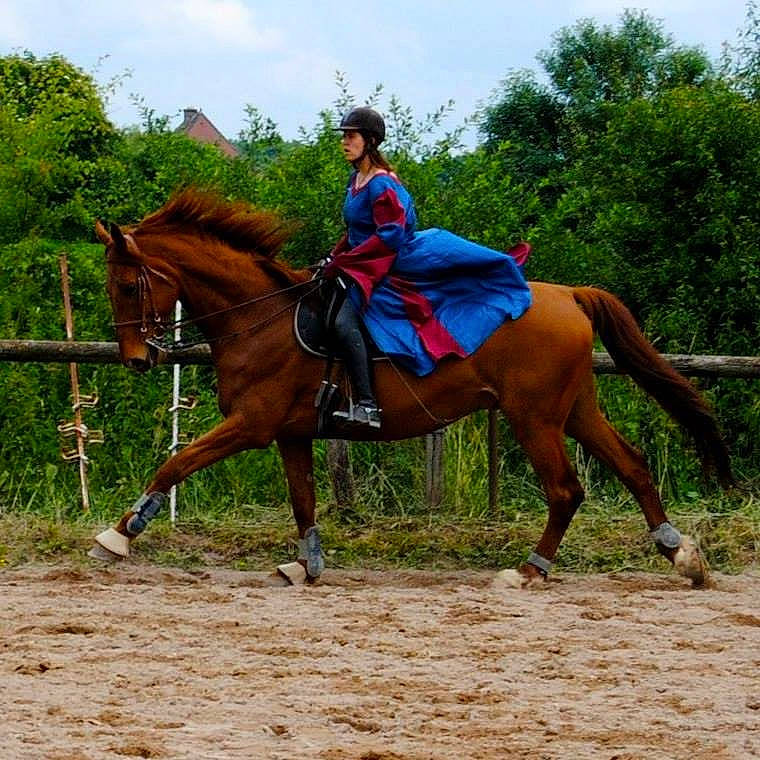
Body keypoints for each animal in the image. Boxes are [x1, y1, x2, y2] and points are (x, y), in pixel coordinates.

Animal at [91, 187, 733, 587]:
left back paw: (530, 570)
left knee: (566, 489)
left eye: (125, 286)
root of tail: (570, 294)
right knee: (632, 465)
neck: (259, 317)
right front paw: (307, 565)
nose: (137, 360)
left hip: (533, 417)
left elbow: (175, 464)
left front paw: (118, 536)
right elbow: (303, 500)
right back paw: (682, 556)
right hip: (572, 410)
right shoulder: (291, 433)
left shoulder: (251, 425)